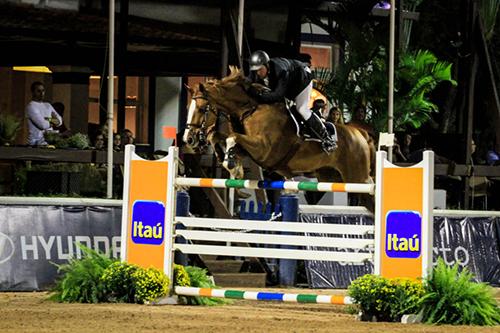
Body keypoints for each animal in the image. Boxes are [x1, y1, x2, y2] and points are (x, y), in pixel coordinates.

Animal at [184, 67, 376, 208]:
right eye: (188, 107)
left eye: (201, 108)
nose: (189, 139)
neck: (249, 109)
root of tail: (361, 134)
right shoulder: (251, 149)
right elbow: (217, 135)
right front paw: (228, 161)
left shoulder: (264, 150)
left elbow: (233, 137)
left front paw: (232, 165)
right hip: (330, 177)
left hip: (356, 178)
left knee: (371, 188)